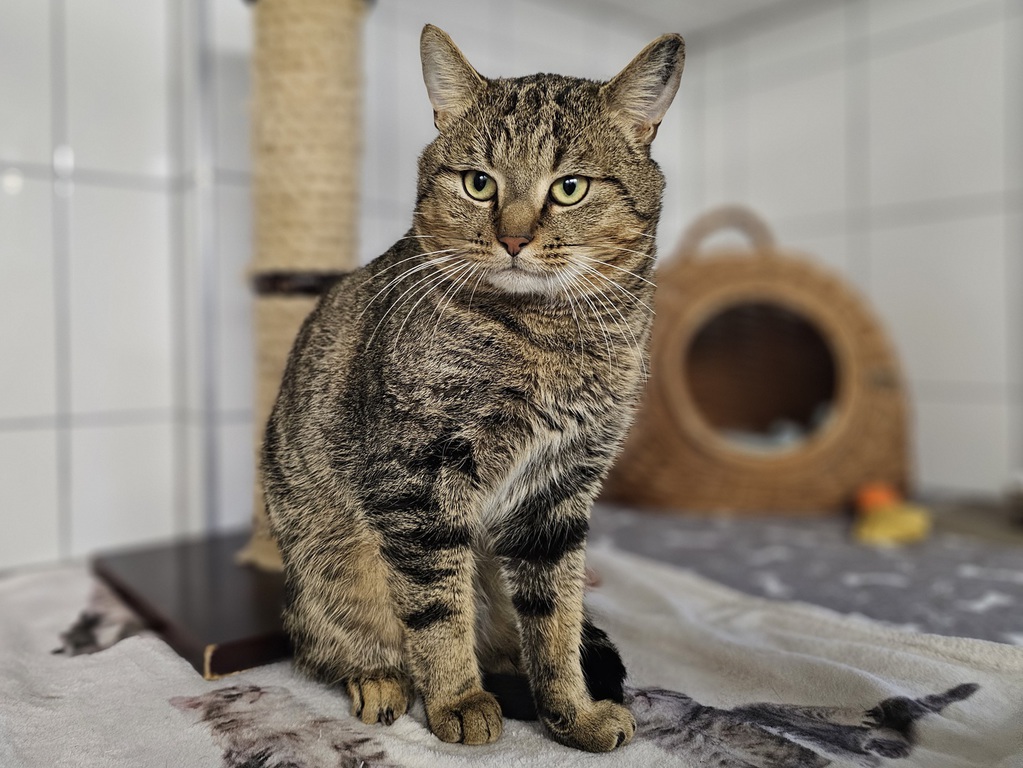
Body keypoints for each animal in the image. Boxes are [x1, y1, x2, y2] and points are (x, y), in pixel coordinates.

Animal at [262, 23, 684, 753]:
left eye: (569, 188)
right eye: (478, 183)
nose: (513, 237)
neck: (551, 336)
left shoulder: (560, 491)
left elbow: (555, 620)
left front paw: (569, 712)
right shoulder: (418, 479)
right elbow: (437, 611)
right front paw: (458, 700)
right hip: (324, 563)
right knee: (342, 642)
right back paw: (380, 680)